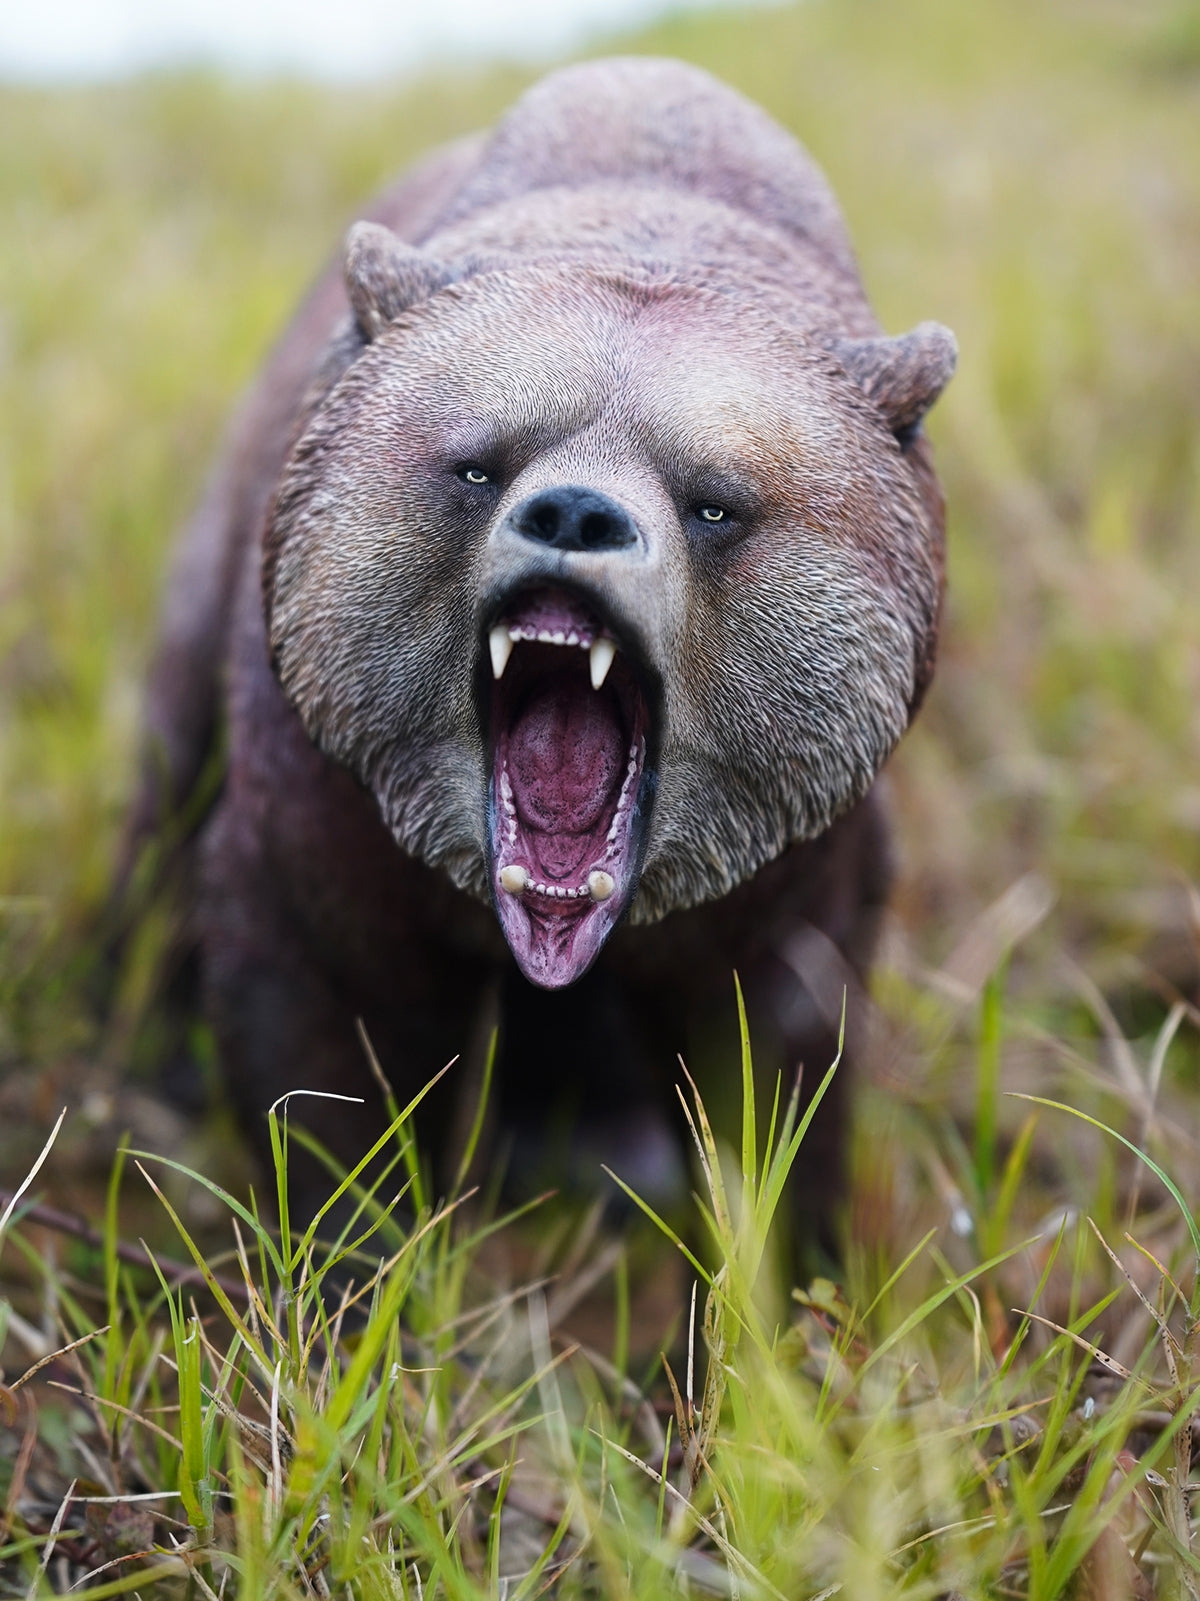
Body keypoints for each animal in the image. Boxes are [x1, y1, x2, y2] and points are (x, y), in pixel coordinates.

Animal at [124, 57, 954, 1256]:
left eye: (715, 501)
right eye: (478, 463)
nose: (574, 512)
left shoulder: (802, 873)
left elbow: (776, 1081)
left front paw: (781, 1269)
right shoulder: (325, 811)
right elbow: (323, 1052)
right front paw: (351, 1260)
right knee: (167, 781)